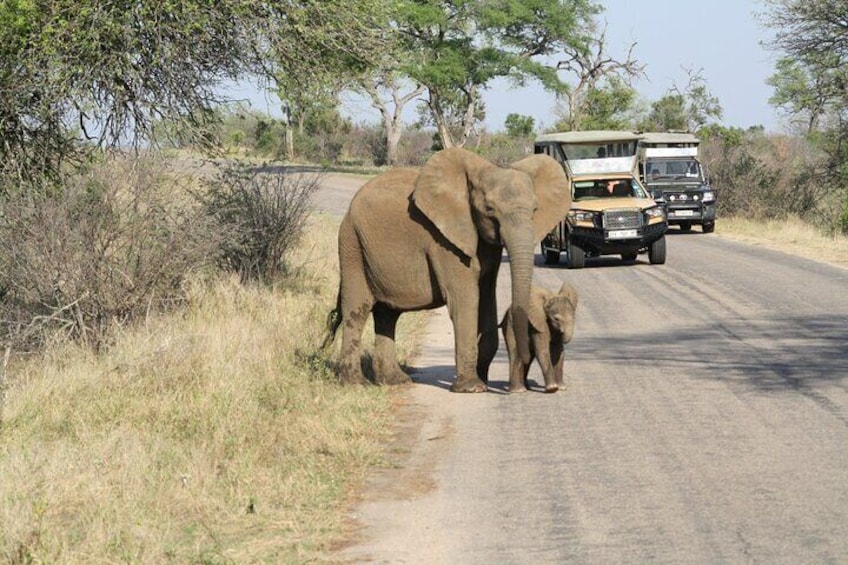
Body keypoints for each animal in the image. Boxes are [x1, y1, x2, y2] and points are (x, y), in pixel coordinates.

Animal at [324, 148, 568, 390]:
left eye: (535, 209)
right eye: (489, 210)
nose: (526, 361)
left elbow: (487, 297)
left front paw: (482, 380)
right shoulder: (443, 242)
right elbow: (466, 299)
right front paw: (472, 387)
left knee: (387, 314)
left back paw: (394, 381)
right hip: (352, 244)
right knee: (357, 308)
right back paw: (355, 384)